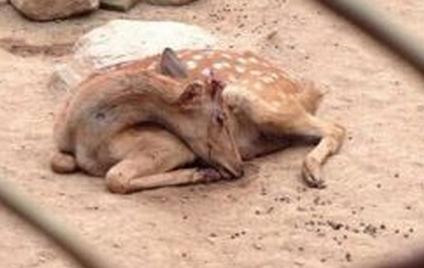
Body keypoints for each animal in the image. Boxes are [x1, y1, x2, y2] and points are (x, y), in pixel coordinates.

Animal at [52, 47, 344, 193]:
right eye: (219, 117)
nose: (238, 168)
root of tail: (304, 87)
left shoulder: (169, 145)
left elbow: (114, 177)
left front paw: (202, 173)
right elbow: (62, 162)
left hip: (259, 99)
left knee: (337, 127)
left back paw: (313, 174)